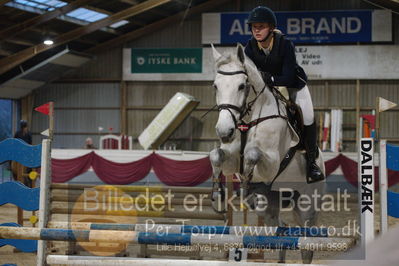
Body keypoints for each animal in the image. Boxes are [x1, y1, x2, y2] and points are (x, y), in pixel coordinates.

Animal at [211, 44, 326, 264]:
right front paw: (216, 191)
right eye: (215, 86)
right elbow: (216, 155)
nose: (224, 132)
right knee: (281, 229)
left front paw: (247, 176)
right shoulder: (231, 159)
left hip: (307, 203)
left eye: (241, 86)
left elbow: (253, 154)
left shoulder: (271, 164)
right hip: (268, 205)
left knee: (306, 242)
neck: (248, 119)